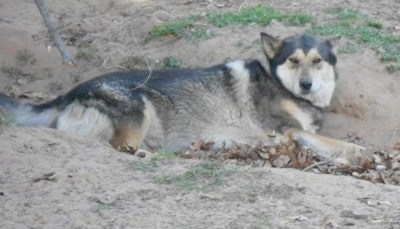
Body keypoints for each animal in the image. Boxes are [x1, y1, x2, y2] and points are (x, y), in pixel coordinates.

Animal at [0, 32, 362, 163]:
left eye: (317, 61)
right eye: (293, 61)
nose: (306, 85)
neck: (280, 84)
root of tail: (65, 95)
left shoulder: (298, 132)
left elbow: (330, 143)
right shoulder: (286, 132)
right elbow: (344, 145)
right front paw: (357, 155)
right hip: (138, 110)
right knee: (117, 146)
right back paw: (148, 155)